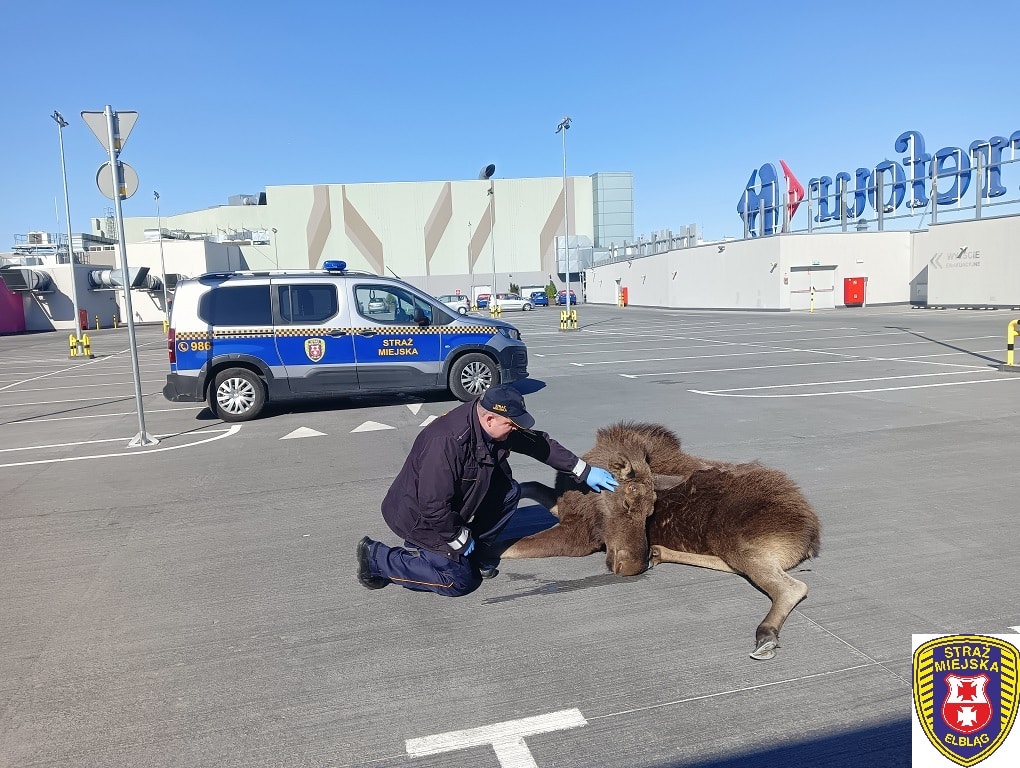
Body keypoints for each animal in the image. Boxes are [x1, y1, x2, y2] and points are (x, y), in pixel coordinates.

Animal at [499, 420, 820, 660]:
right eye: (627, 504)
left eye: (651, 512)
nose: (632, 566)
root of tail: (811, 535)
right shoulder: (563, 508)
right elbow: (530, 485)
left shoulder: (578, 536)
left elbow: (508, 547)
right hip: (732, 547)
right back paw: (658, 552)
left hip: (737, 540)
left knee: (792, 587)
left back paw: (765, 634)